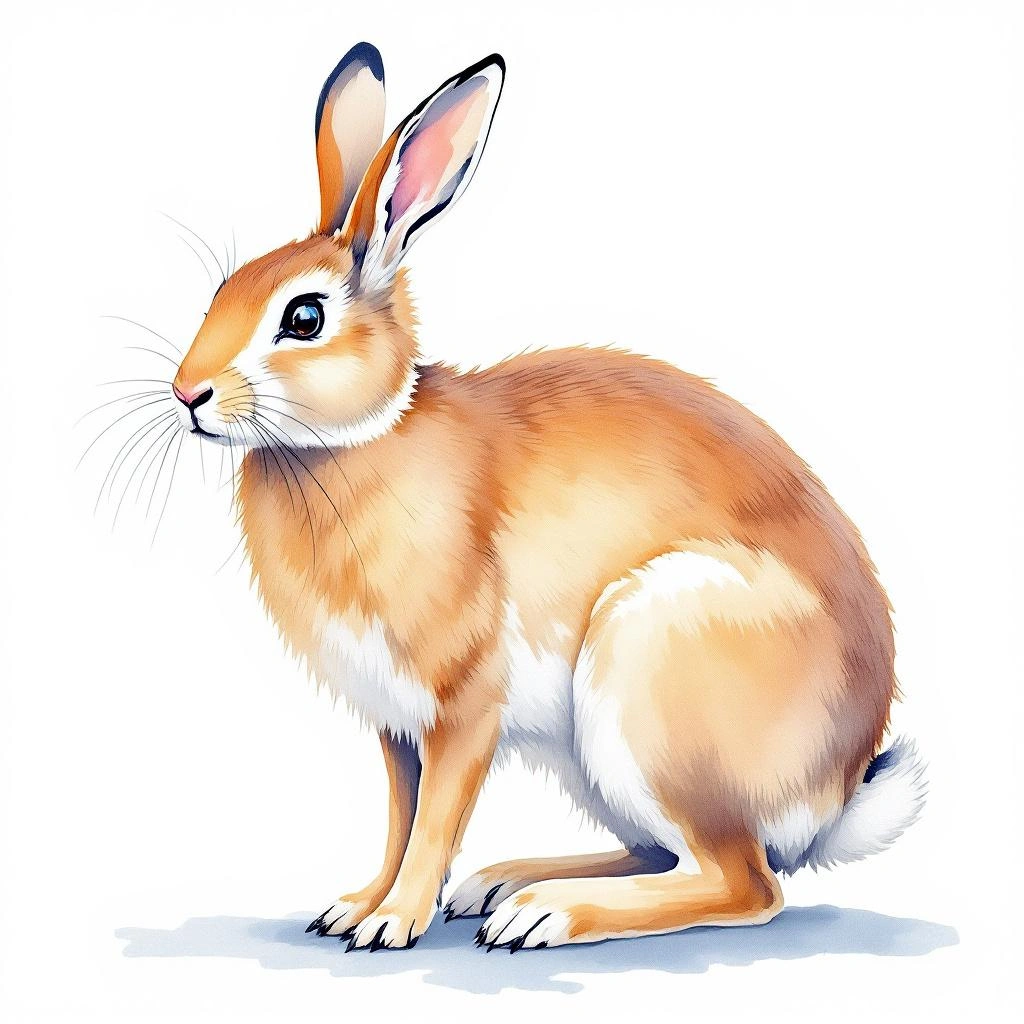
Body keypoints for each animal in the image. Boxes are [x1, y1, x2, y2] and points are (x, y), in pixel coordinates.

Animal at [168, 42, 926, 951]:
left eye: (304, 317)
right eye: (221, 294)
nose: (187, 393)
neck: (355, 441)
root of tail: (835, 793)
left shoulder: (465, 706)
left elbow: (435, 818)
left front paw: (392, 923)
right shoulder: (395, 724)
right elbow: (399, 815)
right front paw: (358, 905)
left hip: (648, 669)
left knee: (742, 882)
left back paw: (544, 914)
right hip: (602, 760)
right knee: (668, 854)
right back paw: (507, 885)